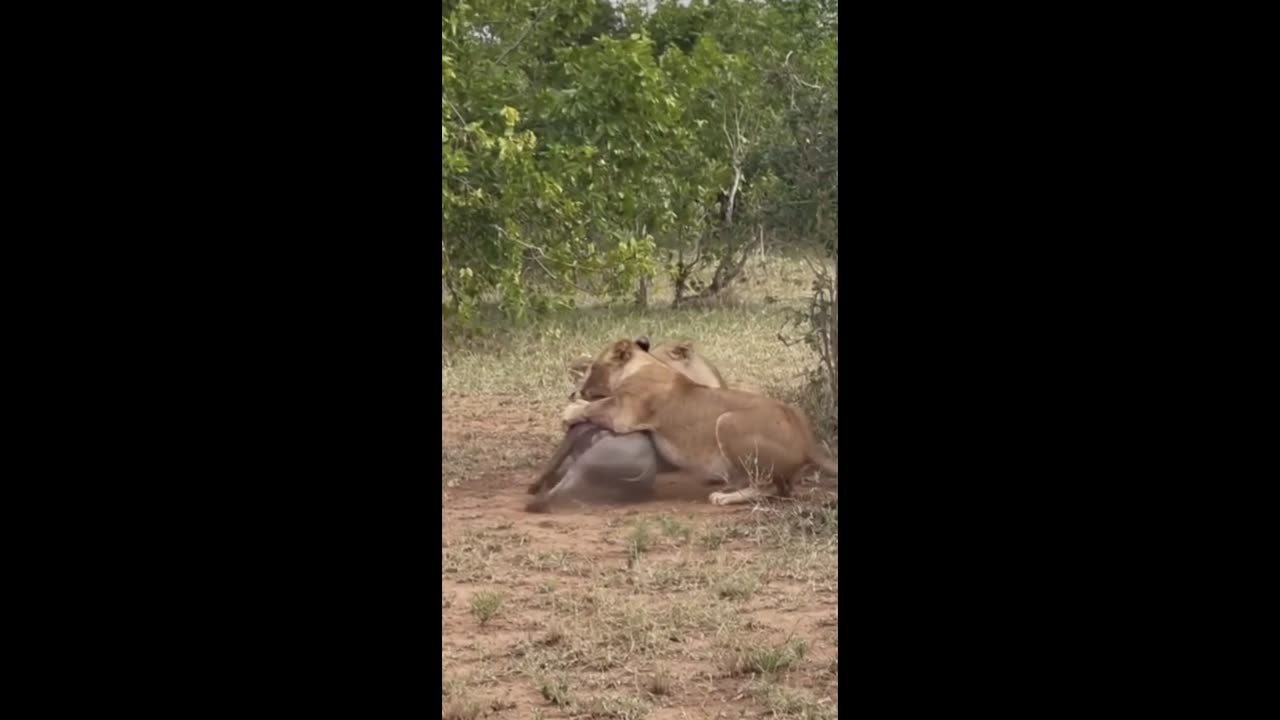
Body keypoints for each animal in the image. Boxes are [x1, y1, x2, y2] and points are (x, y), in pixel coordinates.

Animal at [556, 338, 837, 507]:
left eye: (593, 368)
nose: (576, 391)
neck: (643, 364)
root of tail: (808, 440)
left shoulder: (625, 413)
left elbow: (598, 405)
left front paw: (571, 409)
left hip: (728, 422)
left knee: (768, 487)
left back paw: (725, 497)